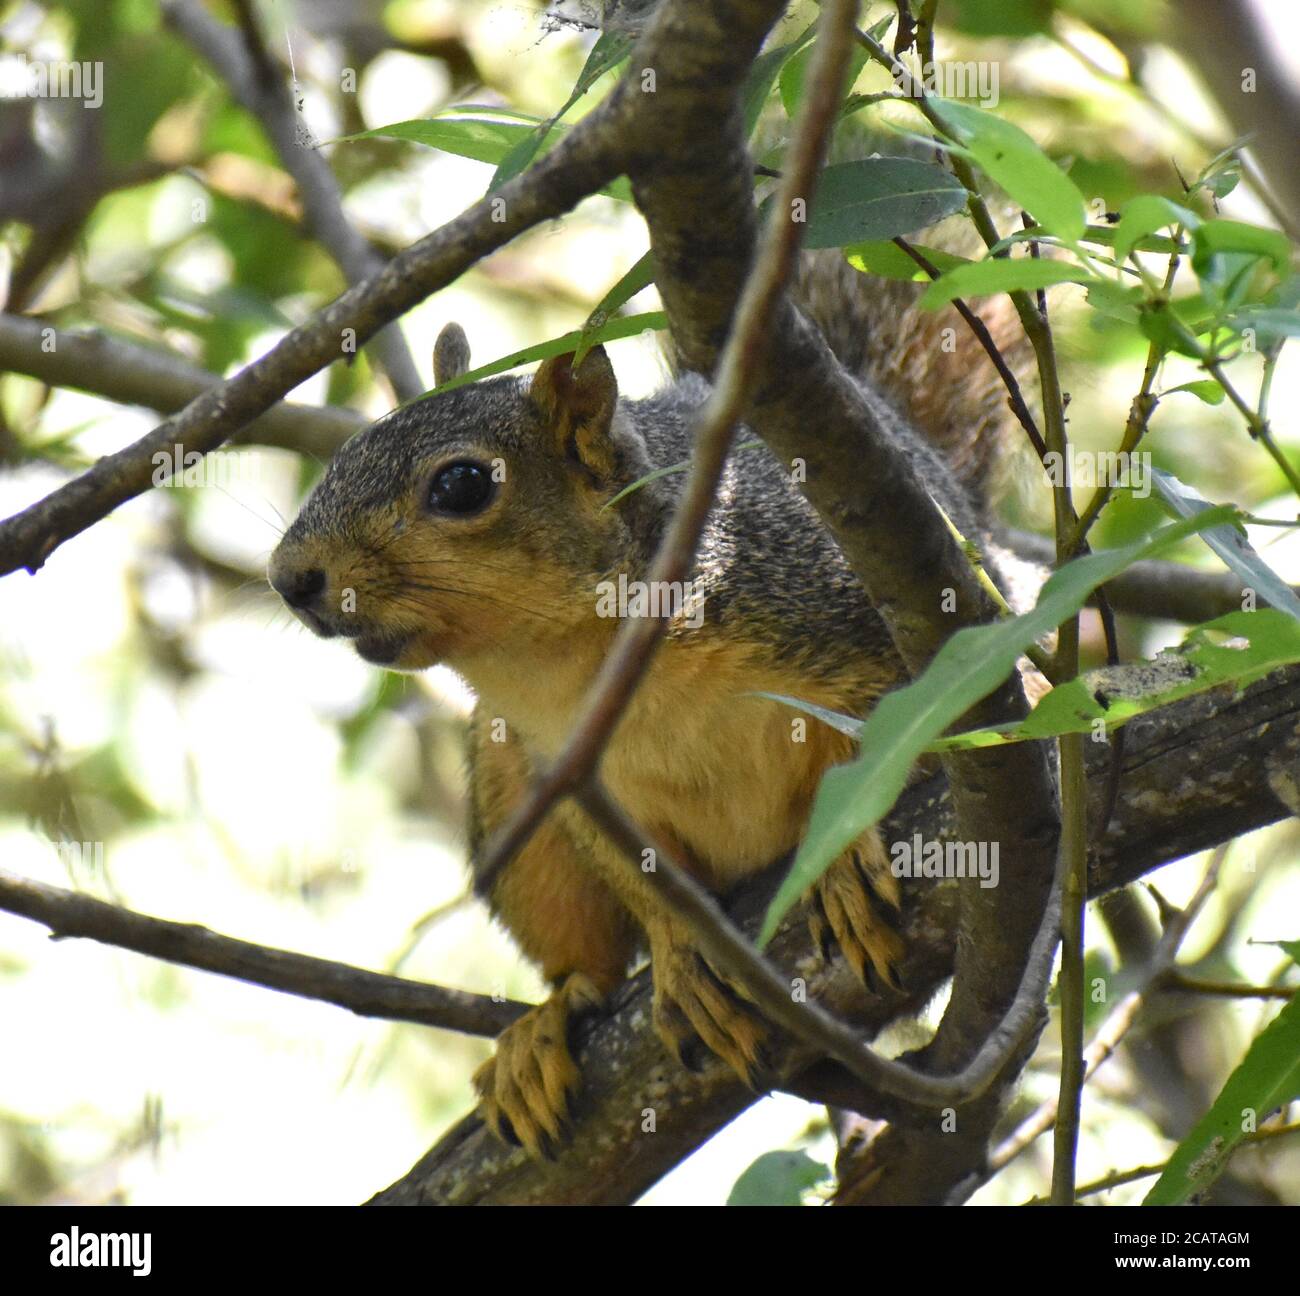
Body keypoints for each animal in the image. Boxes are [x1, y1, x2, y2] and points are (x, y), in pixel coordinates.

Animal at [267, 243, 1029, 1159]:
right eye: (347, 448)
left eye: (461, 485)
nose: (290, 578)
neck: (577, 659)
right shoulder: (563, 771)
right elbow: (638, 877)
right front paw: (680, 950)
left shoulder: (862, 623)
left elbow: (900, 749)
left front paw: (841, 860)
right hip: (511, 805)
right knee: (582, 963)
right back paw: (541, 1031)